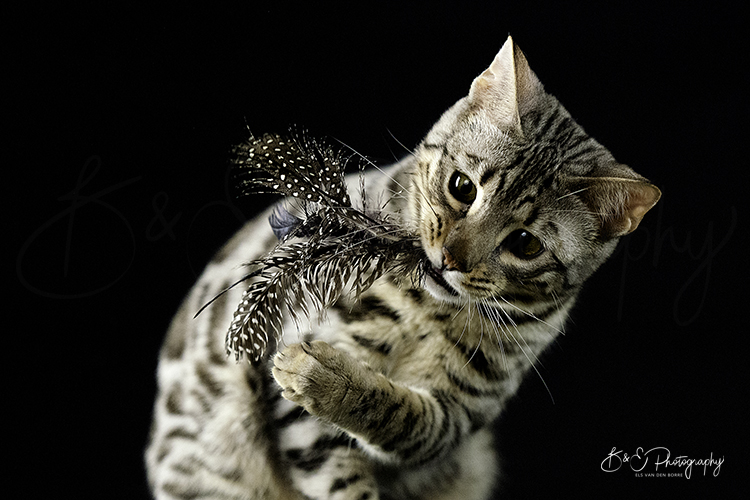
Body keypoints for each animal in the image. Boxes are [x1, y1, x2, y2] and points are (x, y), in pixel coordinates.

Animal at [148, 36, 664, 500]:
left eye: (525, 243)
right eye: (462, 187)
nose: (451, 258)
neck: (429, 313)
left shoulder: (461, 413)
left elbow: (406, 418)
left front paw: (327, 378)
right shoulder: (299, 395)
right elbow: (336, 477)